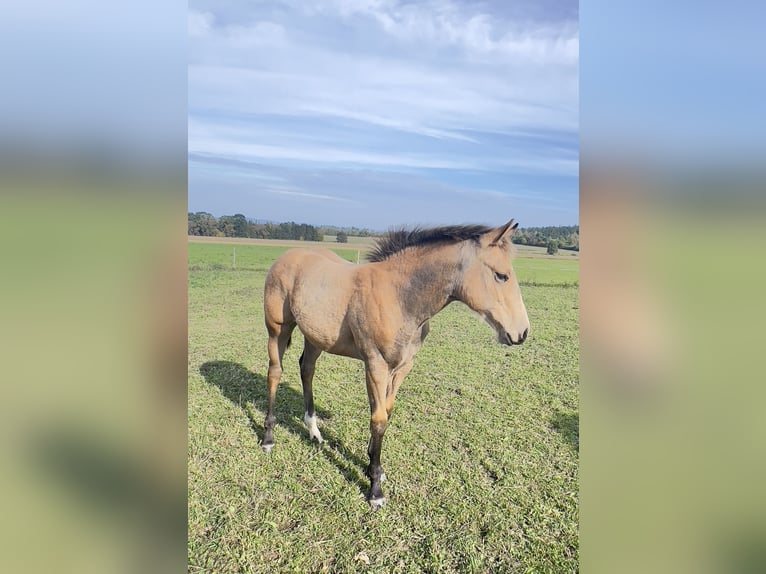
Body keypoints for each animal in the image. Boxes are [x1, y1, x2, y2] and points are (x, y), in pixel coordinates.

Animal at [260, 219, 532, 508]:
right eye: (501, 275)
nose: (521, 333)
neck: (399, 297)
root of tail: (286, 257)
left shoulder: (402, 367)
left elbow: (386, 411)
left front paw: (372, 466)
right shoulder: (376, 365)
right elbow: (378, 419)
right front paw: (375, 490)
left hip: (315, 336)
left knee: (307, 369)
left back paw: (314, 431)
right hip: (277, 330)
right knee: (275, 373)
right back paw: (268, 438)